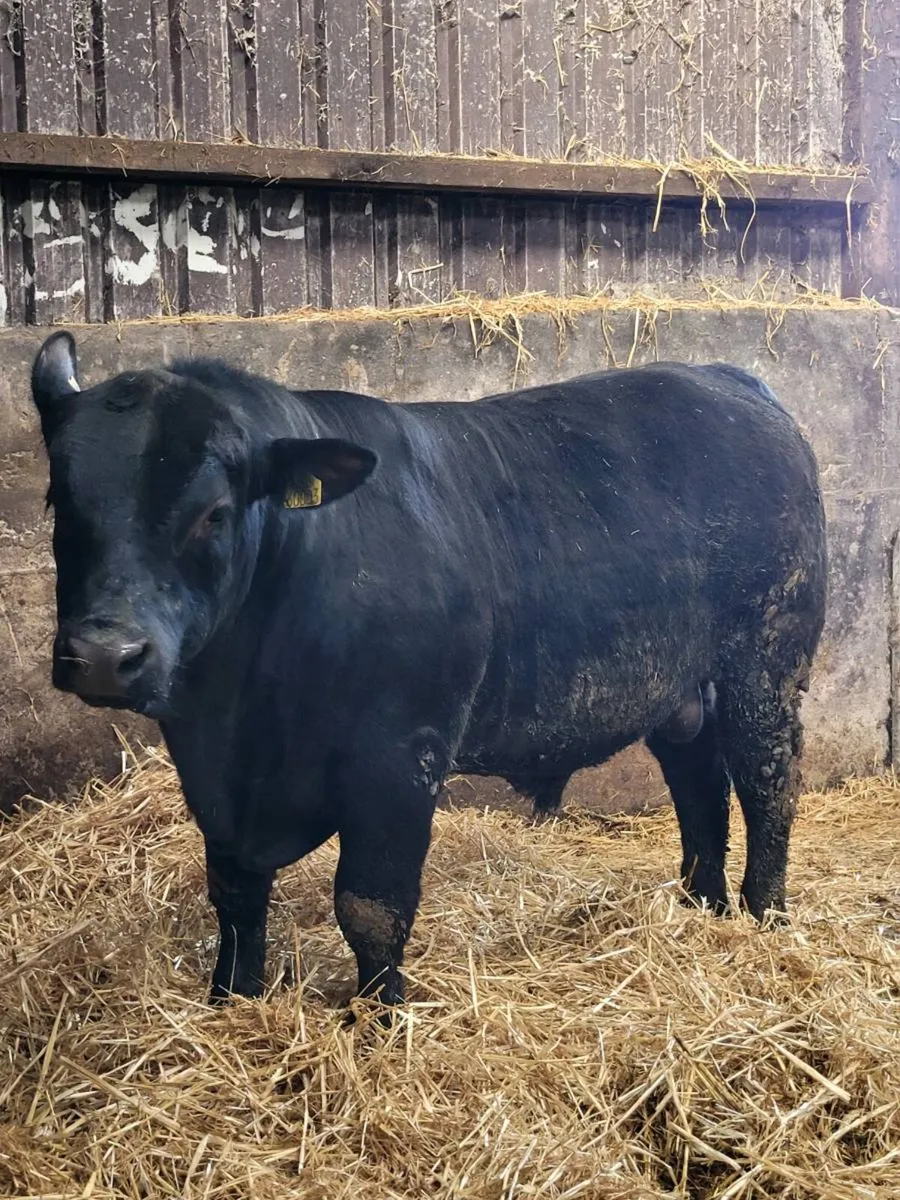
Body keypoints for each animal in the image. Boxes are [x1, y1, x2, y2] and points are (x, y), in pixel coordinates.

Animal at [31, 331, 827, 1014]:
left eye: (215, 513)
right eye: (59, 500)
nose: (104, 654)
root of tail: (726, 379)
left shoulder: (399, 757)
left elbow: (371, 907)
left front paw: (381, 1020)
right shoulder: (217, 783)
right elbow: (234, 896)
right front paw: (230, 1002)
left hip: (767, 666)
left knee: (768, 783)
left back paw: (764, 917)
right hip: (682, 691)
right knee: (699, 786)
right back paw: (702, 908)